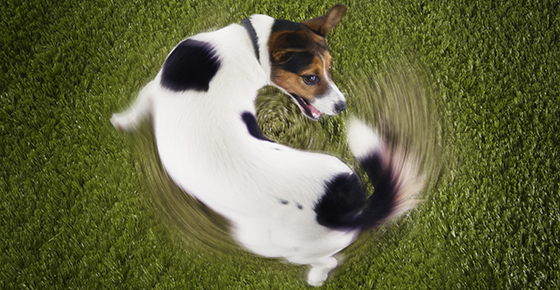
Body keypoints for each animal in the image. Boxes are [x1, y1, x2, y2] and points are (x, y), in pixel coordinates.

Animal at [112, 3, 420, 286]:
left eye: (330, 69)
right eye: (311, 76)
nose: (342, 106)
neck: (249, 47)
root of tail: (348, 211)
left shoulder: (153, 87)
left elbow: (137, 106)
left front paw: (120, 122)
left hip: (270, 244)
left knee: (328, 260)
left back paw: (315, 277)